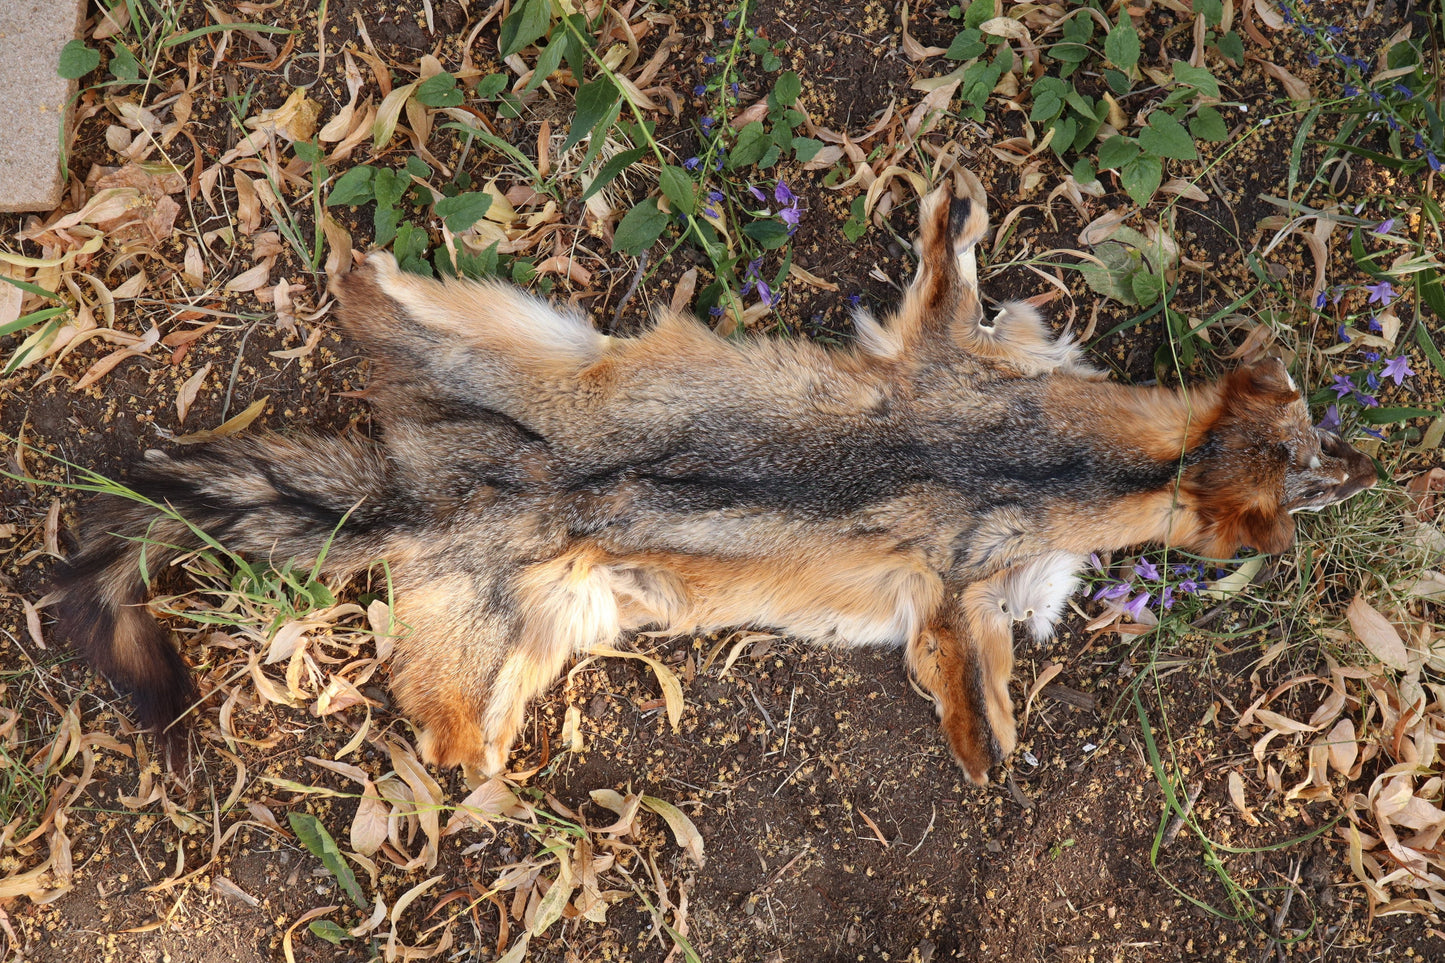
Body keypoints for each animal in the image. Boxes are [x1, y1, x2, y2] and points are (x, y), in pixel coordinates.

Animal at [48, 172, 1377, 784]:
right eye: (1312, 462)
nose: (1371, 468)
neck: (1053, 456)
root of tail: (438, 488)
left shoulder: (961, 469)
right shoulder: (952, 484)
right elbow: (969, 675)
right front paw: (985, 747)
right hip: (509, 382)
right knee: (439, 730)